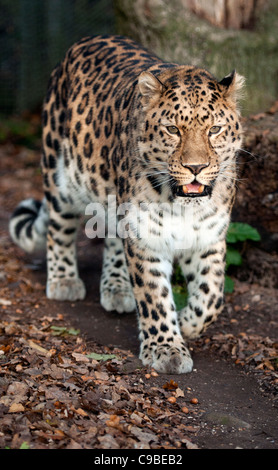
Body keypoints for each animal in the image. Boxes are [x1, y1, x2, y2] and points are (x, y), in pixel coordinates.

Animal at [8, 35, 244, 374]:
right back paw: (64, 280)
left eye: (214, 129)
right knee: (59, 229)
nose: (196, 167)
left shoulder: (209, 237)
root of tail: (85, 40)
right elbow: (154, 296)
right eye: (173, 130)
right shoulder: (147, 237)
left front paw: (186, 325)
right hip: (59, 176)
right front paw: (166, 348)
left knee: (112, 237)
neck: (184, 205)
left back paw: (117, 287)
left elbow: (212, 297)